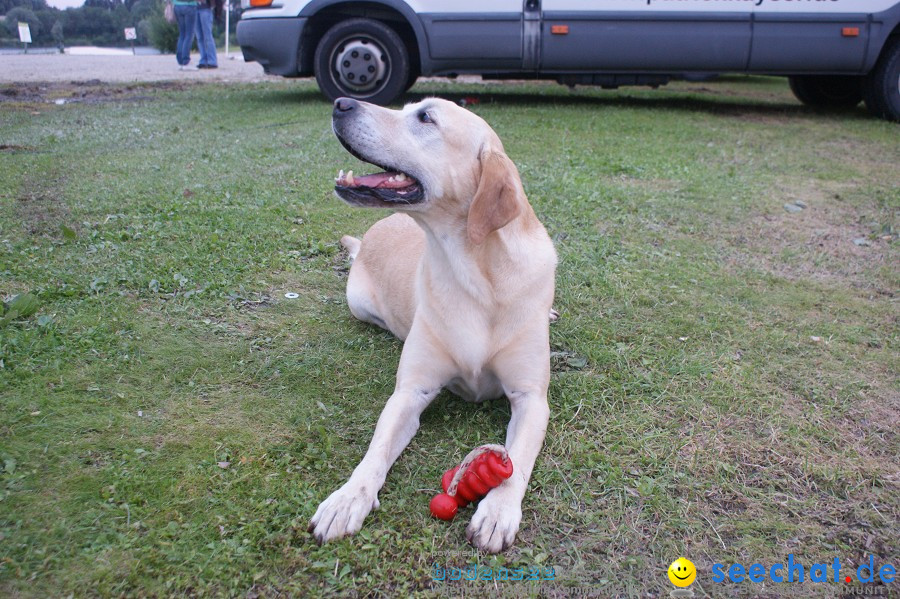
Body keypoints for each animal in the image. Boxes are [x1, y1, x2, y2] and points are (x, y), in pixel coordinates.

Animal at [312, 97, 560, 552]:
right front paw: (347, 498)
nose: (341, 101)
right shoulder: (410, 392)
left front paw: (497, 512)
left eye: (425, 116)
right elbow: (374, 453)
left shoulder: (532, 399)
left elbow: (516, 462)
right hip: (359, 304)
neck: (475, 273)